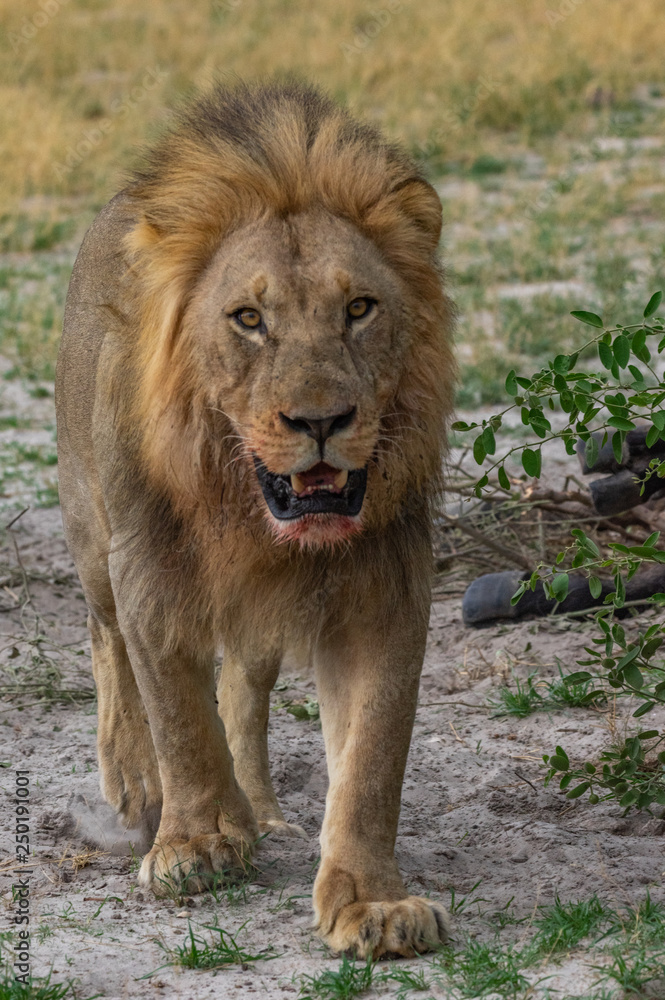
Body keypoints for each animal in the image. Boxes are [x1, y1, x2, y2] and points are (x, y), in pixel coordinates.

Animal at [54, 80, 454, 960]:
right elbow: (175, 710)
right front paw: (196, 840)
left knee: (242, 684)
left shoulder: (385, 590)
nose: (320, 421)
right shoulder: (147, 570)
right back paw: (136, 789)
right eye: (247, 319)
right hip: (92, 539)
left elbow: (372, 756)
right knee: (109, 646)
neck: (244, 507)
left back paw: (263, 810)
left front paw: (372, 901)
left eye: (359, 308)